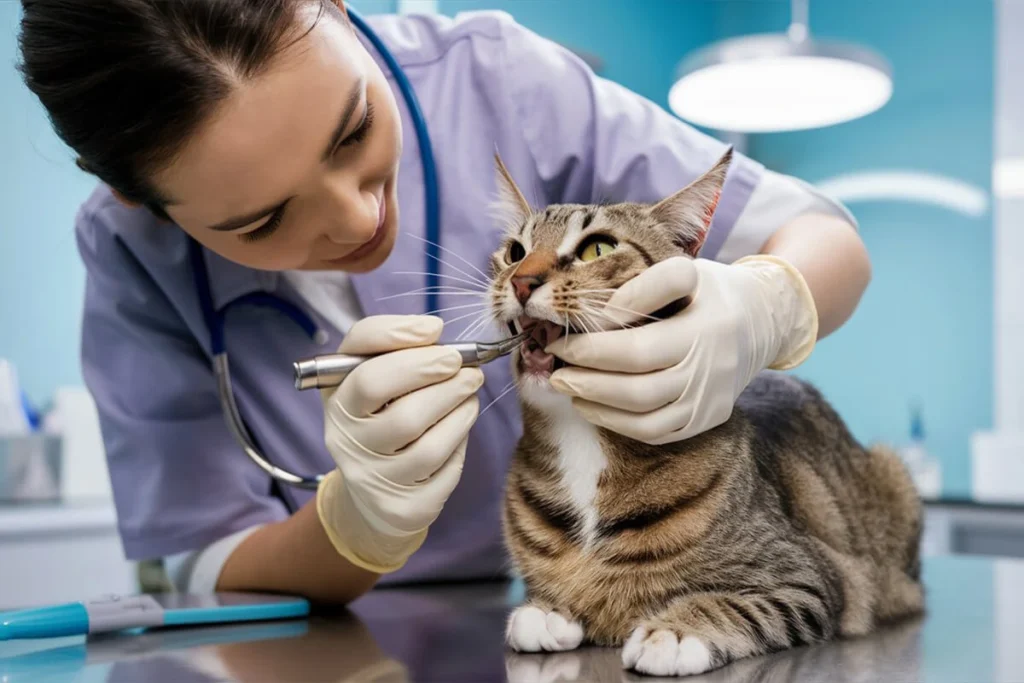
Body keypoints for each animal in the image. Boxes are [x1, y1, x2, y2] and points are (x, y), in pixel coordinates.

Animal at [489, 150, 929, 679]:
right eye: (515, 251)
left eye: (597, 249)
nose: (520, 280)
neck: (583, 439)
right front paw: (548, 609)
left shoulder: (814, 577)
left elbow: (735, 603)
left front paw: (676, 632)